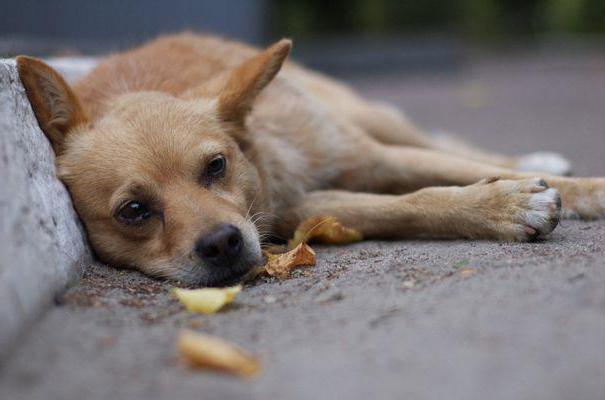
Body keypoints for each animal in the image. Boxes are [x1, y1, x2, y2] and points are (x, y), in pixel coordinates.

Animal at [16, 32, 600, 286]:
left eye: (215, 167)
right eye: (134, 212)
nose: (223, 243)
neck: (270, 162)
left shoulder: (375, 157)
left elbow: (451, 170)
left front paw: (586, 191)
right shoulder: (308, 208)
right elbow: (415, 202)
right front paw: (502, 205)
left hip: (366, 120)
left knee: (451, 146)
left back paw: (538, 158)